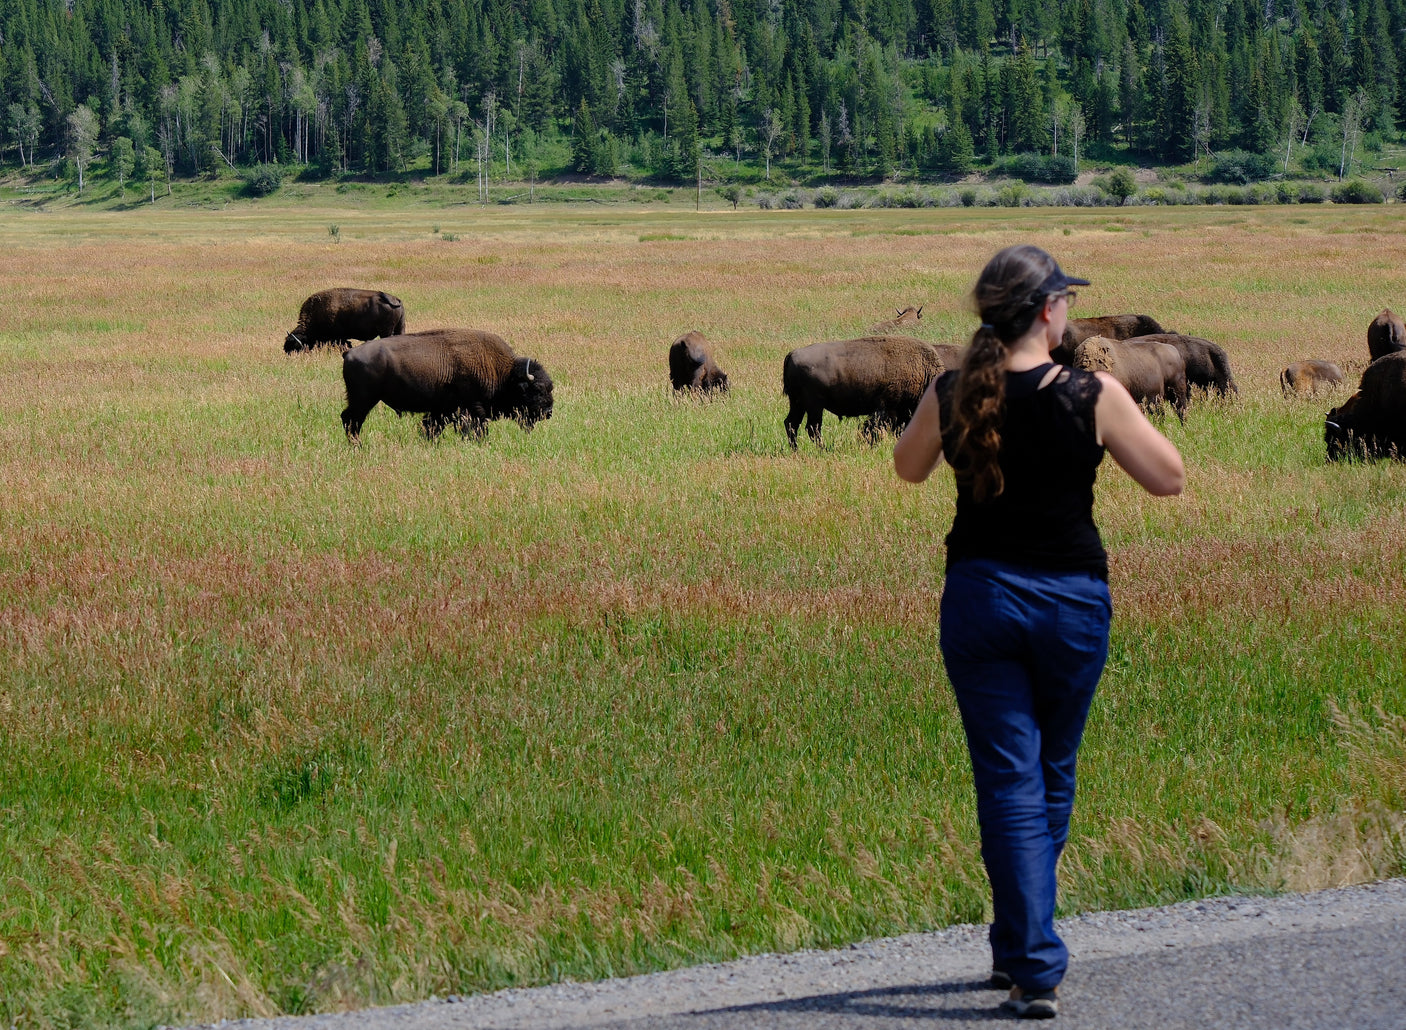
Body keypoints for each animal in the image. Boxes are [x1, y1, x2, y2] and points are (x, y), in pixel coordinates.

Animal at [341, 328, 553, 442]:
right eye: (537, 390)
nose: (549, 412)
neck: (504, 373)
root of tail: (349, 354)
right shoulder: (472, 408)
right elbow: (475, 429)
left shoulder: (441, 410)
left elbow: (431, 427)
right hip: (364, 400)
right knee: (351, 420)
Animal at [782, 335, 946, 448]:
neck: (923, 371)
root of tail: (793, 354)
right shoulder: (887, 409)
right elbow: (872, 428)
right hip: (814, 406)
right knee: (812, 427)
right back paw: (823, 449)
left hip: (798, 403)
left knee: (792, 423)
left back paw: (796, 450)